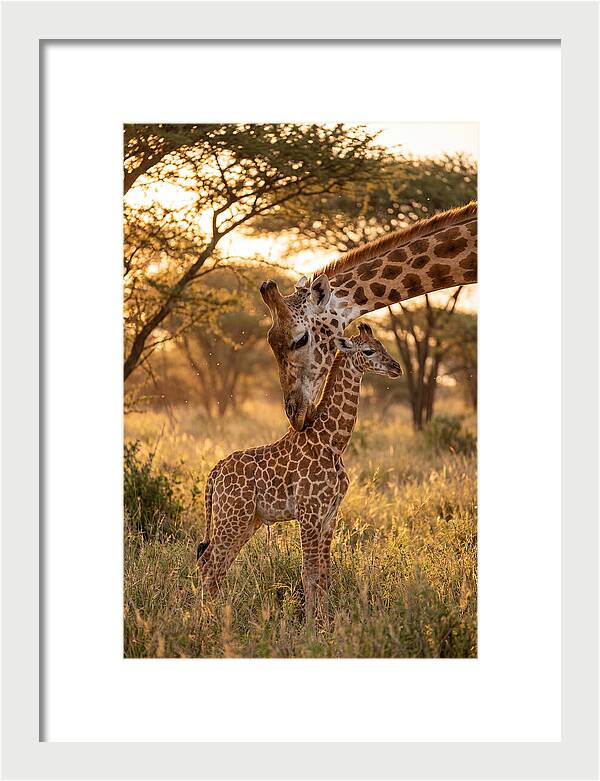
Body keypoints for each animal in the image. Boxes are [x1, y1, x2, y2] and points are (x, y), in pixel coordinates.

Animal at [197, 323, 402, 621]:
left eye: (382, 345)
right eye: (368, 351)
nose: (396, 367)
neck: (333, 442)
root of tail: (215, 473)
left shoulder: (329, 515)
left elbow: (325, 574)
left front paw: (325, 621)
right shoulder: (309, 512)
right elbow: (309, 573)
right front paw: (310, 625)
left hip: (247, 520)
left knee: (218, 564)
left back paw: (215, 615)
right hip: (232, 516)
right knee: (208, 563)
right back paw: (203, 620)